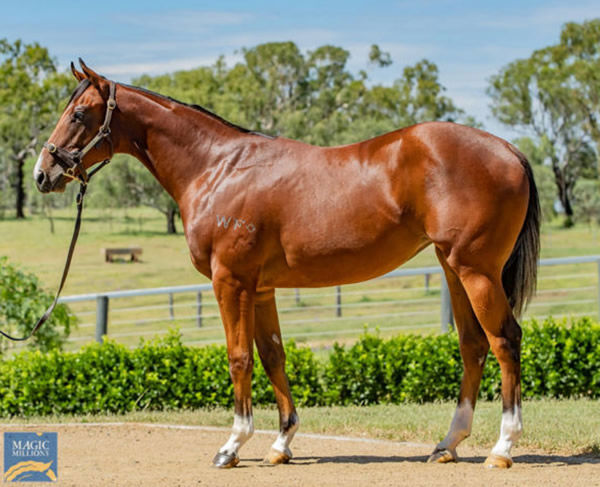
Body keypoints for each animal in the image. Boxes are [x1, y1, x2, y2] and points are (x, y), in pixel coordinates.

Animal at [31, 60, 540, 468]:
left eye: (79, 114)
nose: (42, 174)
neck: (218, 168)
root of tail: (509, 150)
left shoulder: (230, 282)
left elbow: (239, 358)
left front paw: (232, 446)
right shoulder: (261, 289)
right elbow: (273, 356)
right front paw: (281, 443)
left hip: (476, 271)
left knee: (505, 340)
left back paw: (502, 449)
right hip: (453, 269)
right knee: (472, 345)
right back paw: (447, 444)